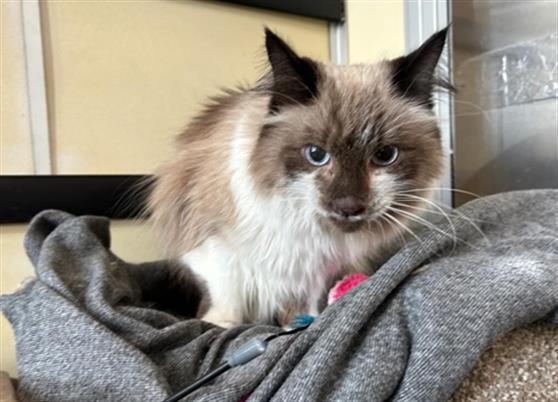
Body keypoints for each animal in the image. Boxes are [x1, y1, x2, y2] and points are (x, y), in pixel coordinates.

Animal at [148, 28, 450, 328]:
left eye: (385, 155)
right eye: (316, 155)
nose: (349, 207)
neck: (309, 231)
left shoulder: (316, 270)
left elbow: (307, 308)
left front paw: (299, 325)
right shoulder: (214, 246)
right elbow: (227, 299)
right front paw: (219, 327)